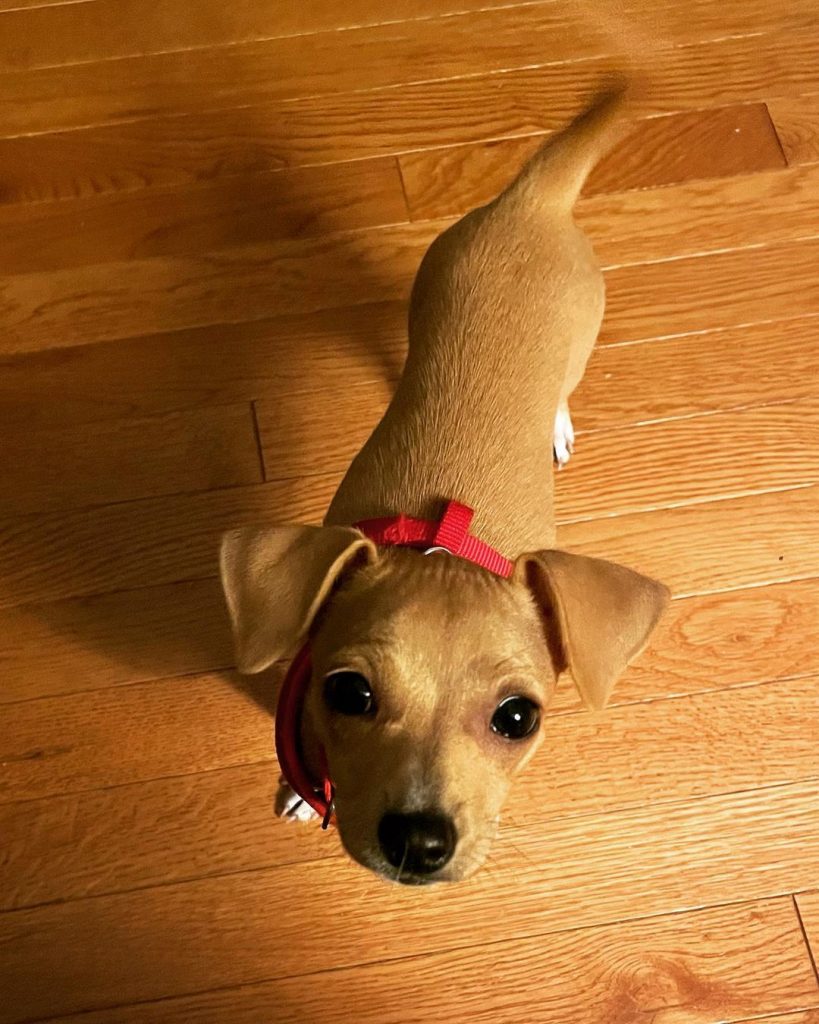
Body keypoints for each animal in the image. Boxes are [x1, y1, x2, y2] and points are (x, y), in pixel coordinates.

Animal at [221, 86, 667, 888]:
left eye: (518, 718)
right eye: (348, 692)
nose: (418, 841)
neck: (442, 543)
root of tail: (531, 202)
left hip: (581, 340)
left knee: (562, 387)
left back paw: (554, 424)